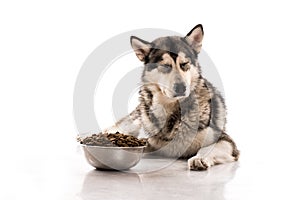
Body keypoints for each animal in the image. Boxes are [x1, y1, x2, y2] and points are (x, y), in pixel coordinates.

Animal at [104, 24, 240, 170]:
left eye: (184, 64)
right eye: (165, 66)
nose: (181, 88)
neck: (173, 114)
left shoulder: (224, 139)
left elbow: (207, 149)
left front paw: (199, 158)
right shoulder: (146, 141)